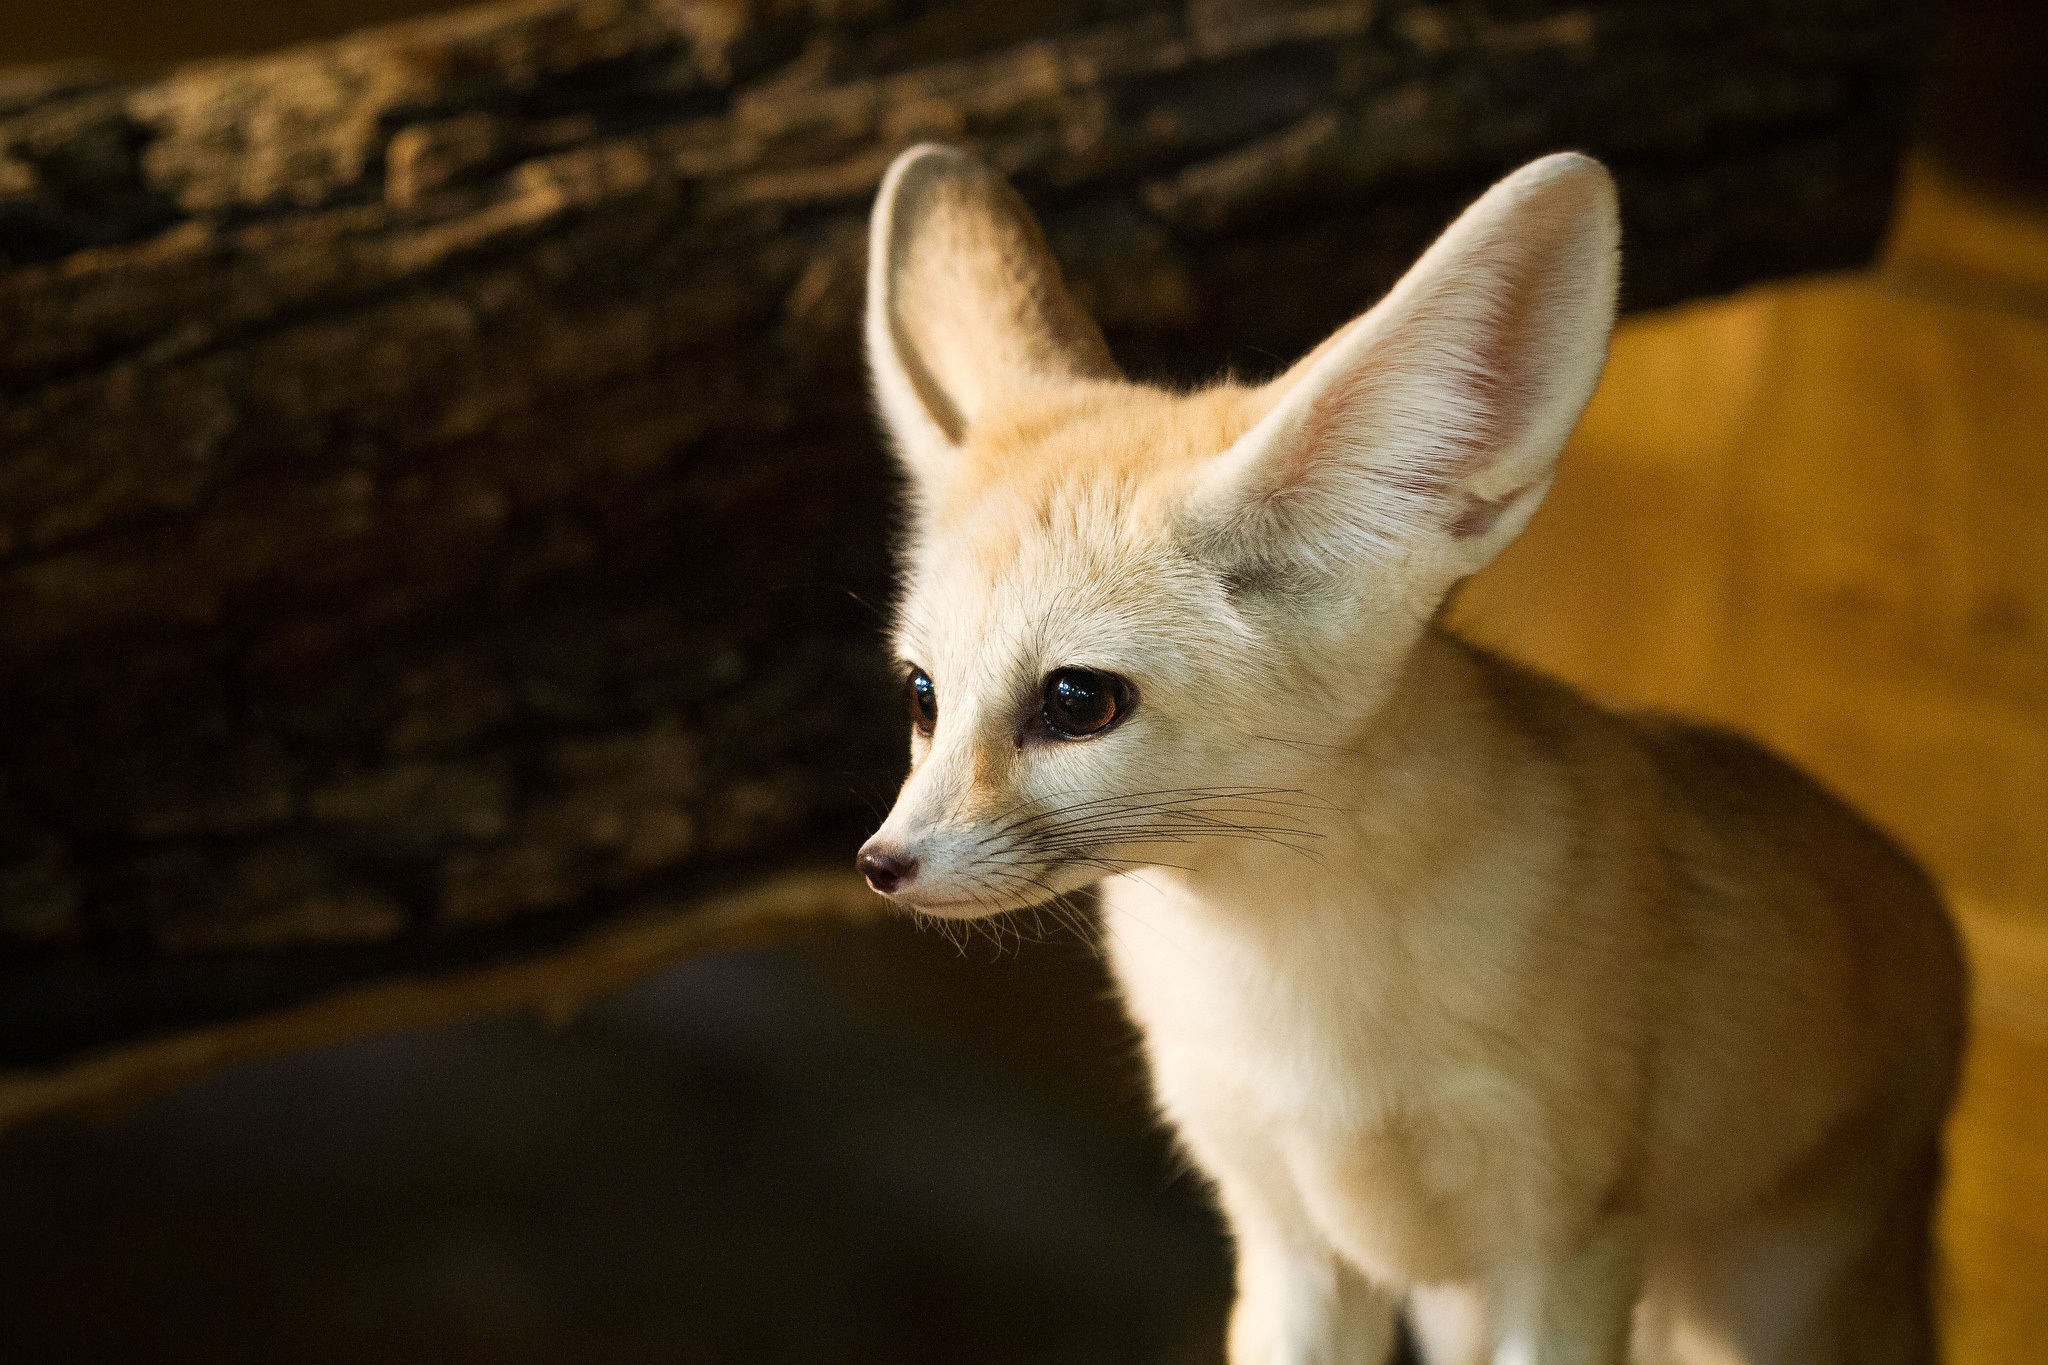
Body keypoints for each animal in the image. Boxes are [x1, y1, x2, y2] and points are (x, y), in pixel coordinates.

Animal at [852, 143, 1966, 1365]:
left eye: (1074, 701)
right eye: (920, 694)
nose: (881, 864)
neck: (1301, 989)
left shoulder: (1560, 1245)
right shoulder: (1290, 1242)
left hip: (1747, 1317)